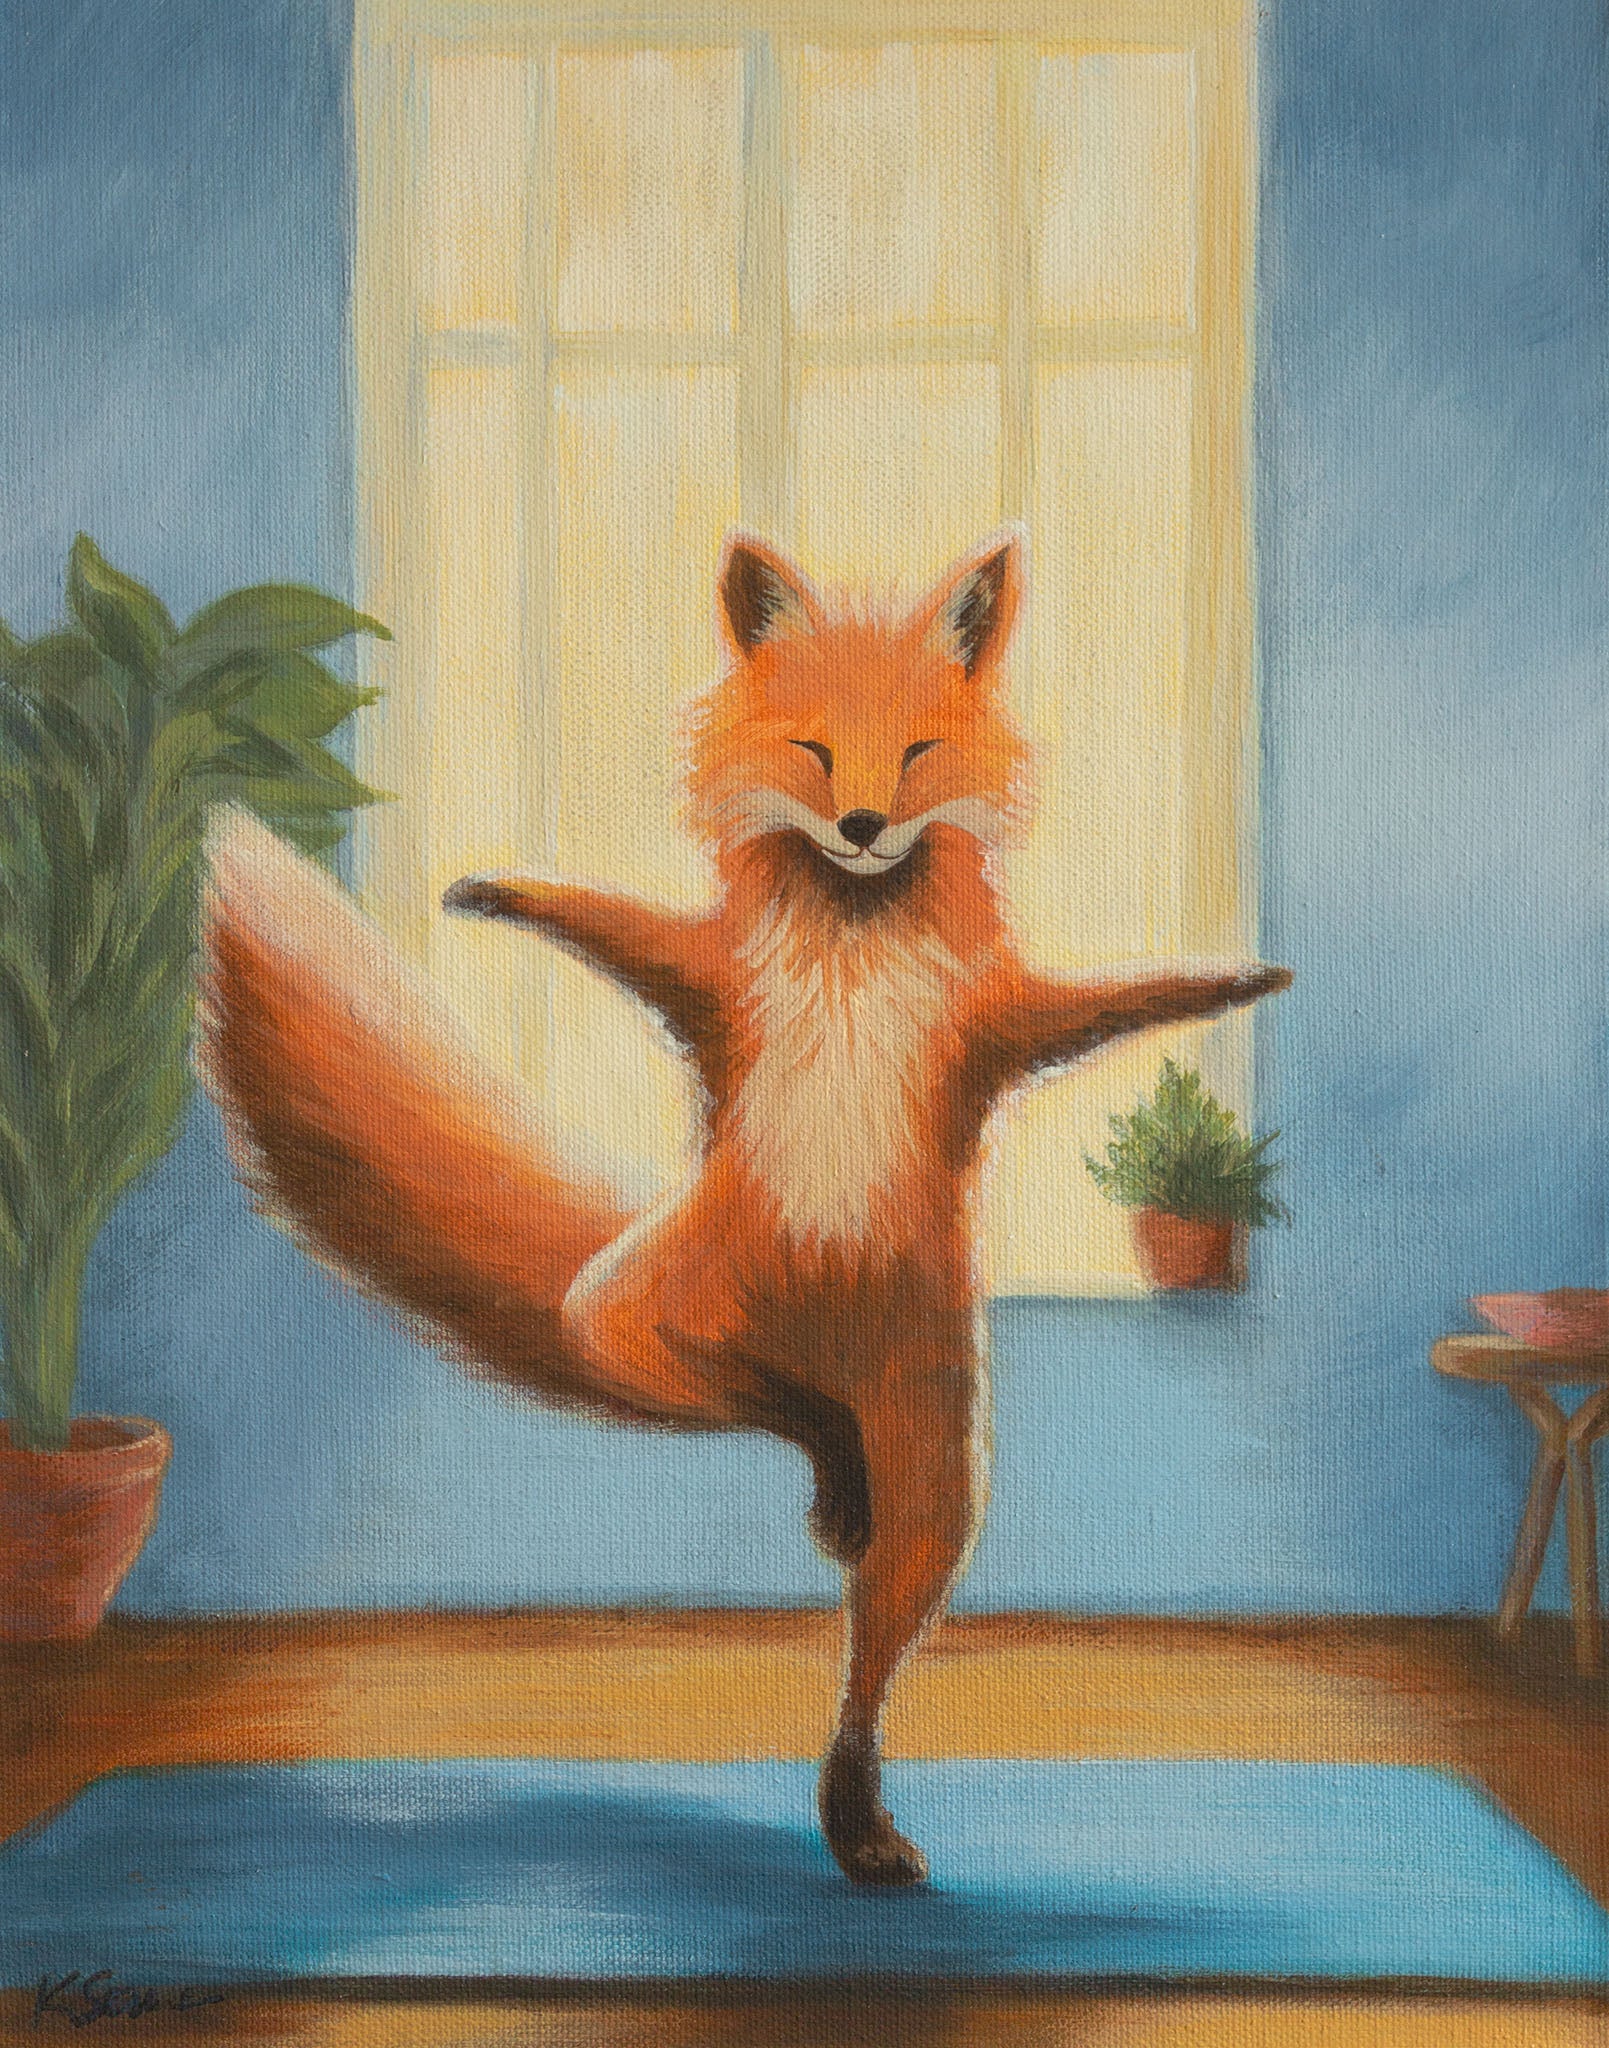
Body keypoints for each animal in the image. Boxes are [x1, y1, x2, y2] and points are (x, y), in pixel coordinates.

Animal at [197, 529, 1291, 1887]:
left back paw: (857, 1809)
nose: (864, 825)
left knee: (866, 1649)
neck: (853, 940)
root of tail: (821, 1335)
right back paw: (827, 1483)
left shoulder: (996, 1021)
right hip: (627, 1323)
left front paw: (1232, 978)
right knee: (763, 1404)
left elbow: (1119, 997)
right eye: (814, 751)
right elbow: (611, 924)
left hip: (939, 1483)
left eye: (914, 752)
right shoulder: (709, 981)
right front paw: (501, 892)